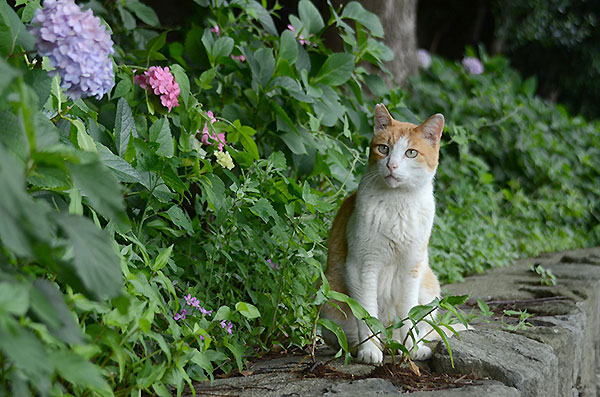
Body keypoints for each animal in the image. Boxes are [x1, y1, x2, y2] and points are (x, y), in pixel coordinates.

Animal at [324, 103, 446, 364]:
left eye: (411, 153)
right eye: (383, 149)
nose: (392, 165)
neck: (397, 204)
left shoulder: (411, 270)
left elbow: (408, 314)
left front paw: (411, 350)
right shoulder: (363, 267)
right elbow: (367, 314)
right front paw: (370, 351)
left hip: (430, 290)